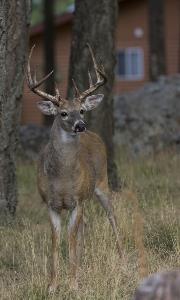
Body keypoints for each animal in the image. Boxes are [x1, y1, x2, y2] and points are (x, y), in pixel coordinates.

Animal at [25, 44, 121, 292]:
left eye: (82, 110)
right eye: (63, 113)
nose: (80, 125)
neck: (62, 180)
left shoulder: (76, 200)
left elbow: (70, 239)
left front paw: (73, 283)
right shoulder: (51, 203)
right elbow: (56, 240)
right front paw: (52, 285)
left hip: (101, 182)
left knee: (112, 216)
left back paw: (123, 258)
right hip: (86, 198)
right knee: (84, 226)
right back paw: (84, 262)